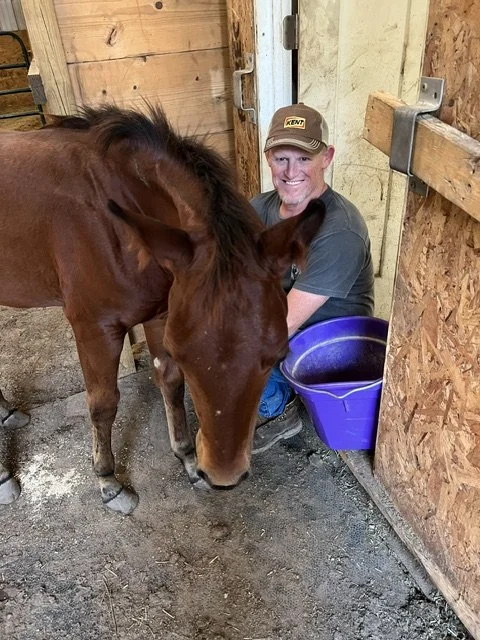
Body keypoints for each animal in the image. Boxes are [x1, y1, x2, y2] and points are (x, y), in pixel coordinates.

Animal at [0, 105, 325, 514]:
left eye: (278, 356)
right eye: (185, 354)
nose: (223, 476)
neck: (113, 220)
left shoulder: (160, 313)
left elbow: (168, 381)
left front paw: (186, 457)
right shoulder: (94, 327)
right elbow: (103, 403)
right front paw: (108, 480)